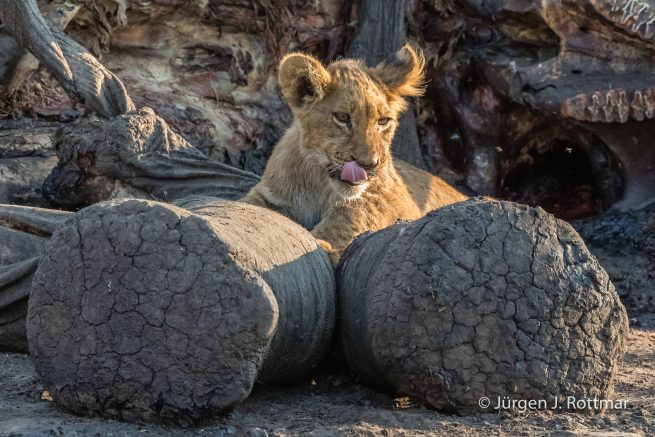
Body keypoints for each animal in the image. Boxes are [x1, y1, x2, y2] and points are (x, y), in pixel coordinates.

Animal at [241, 44, 467, 264]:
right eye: (342, 117)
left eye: (383, 121)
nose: (369, 165)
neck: (318, 183)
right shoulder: (270, 196)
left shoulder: (383, 199)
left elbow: (350, 219)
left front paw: (325, 244)